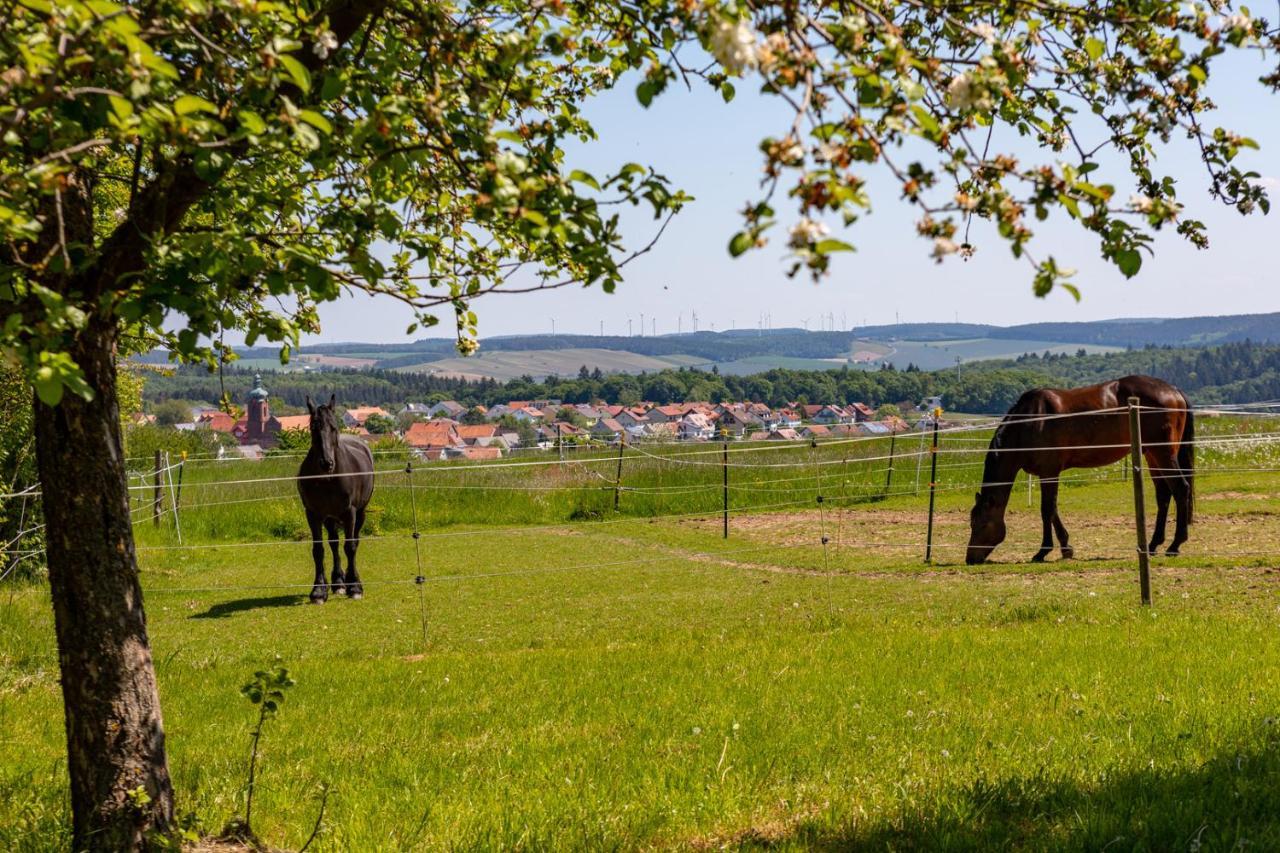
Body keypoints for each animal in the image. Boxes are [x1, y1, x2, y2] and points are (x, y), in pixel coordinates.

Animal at [298, 394, 373, 601]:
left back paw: (350, 581)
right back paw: (338, 582)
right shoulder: (313, 514)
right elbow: (318, 550)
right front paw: (318, 590)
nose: (327, 463)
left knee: (354, 541)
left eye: (333, 427)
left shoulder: (350, 513)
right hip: (330, 517)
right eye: (313, 427)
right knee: (333, 543)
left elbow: (350, 547)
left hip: (360, 513)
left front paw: (354, 587)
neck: (328, 479)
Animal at [962, 373, 1192, 560]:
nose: (970, 558)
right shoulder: (1047, 474)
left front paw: (1043, 551)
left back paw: (1175, 545)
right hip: (1152, 456)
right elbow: (1053, 509)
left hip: (1163, 453)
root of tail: (1174, 390)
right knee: (1164, 495)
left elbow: (1046, 509)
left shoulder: (1049, 472)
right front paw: (1066, 547)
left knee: (1181, 489)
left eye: (980, 523)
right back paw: (1153, 545)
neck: (1030, 421)